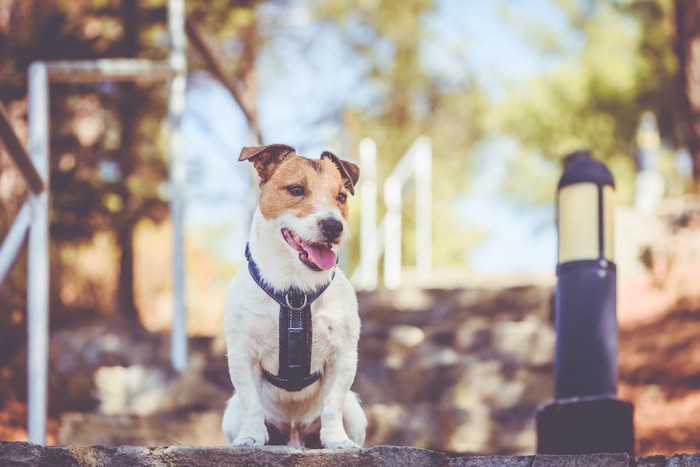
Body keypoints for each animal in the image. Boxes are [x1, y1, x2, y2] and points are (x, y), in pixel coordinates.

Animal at [223, 144, 366, 450]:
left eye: (341, 197)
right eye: (297, 189)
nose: (333, 226)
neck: (295, 288)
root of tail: (293, 437)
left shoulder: (344, 356)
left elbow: (332, 405)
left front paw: (337, 441)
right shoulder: (242, 354)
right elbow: (251, 402)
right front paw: (250, 437)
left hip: (355, 411)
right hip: (231, 412)